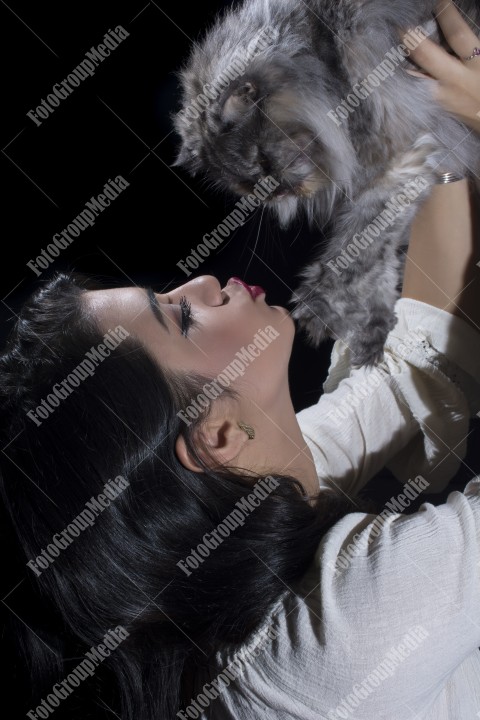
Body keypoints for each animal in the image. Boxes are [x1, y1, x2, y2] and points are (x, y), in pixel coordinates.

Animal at [174, 0, 478, 368]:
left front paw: (321, 308)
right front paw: (373, 333)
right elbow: (381, 266)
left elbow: (355, 249)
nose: (276, 189)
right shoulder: (407, 168)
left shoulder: (399, 161)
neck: (325, 64)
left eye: (262, 159)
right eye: (248, 185)